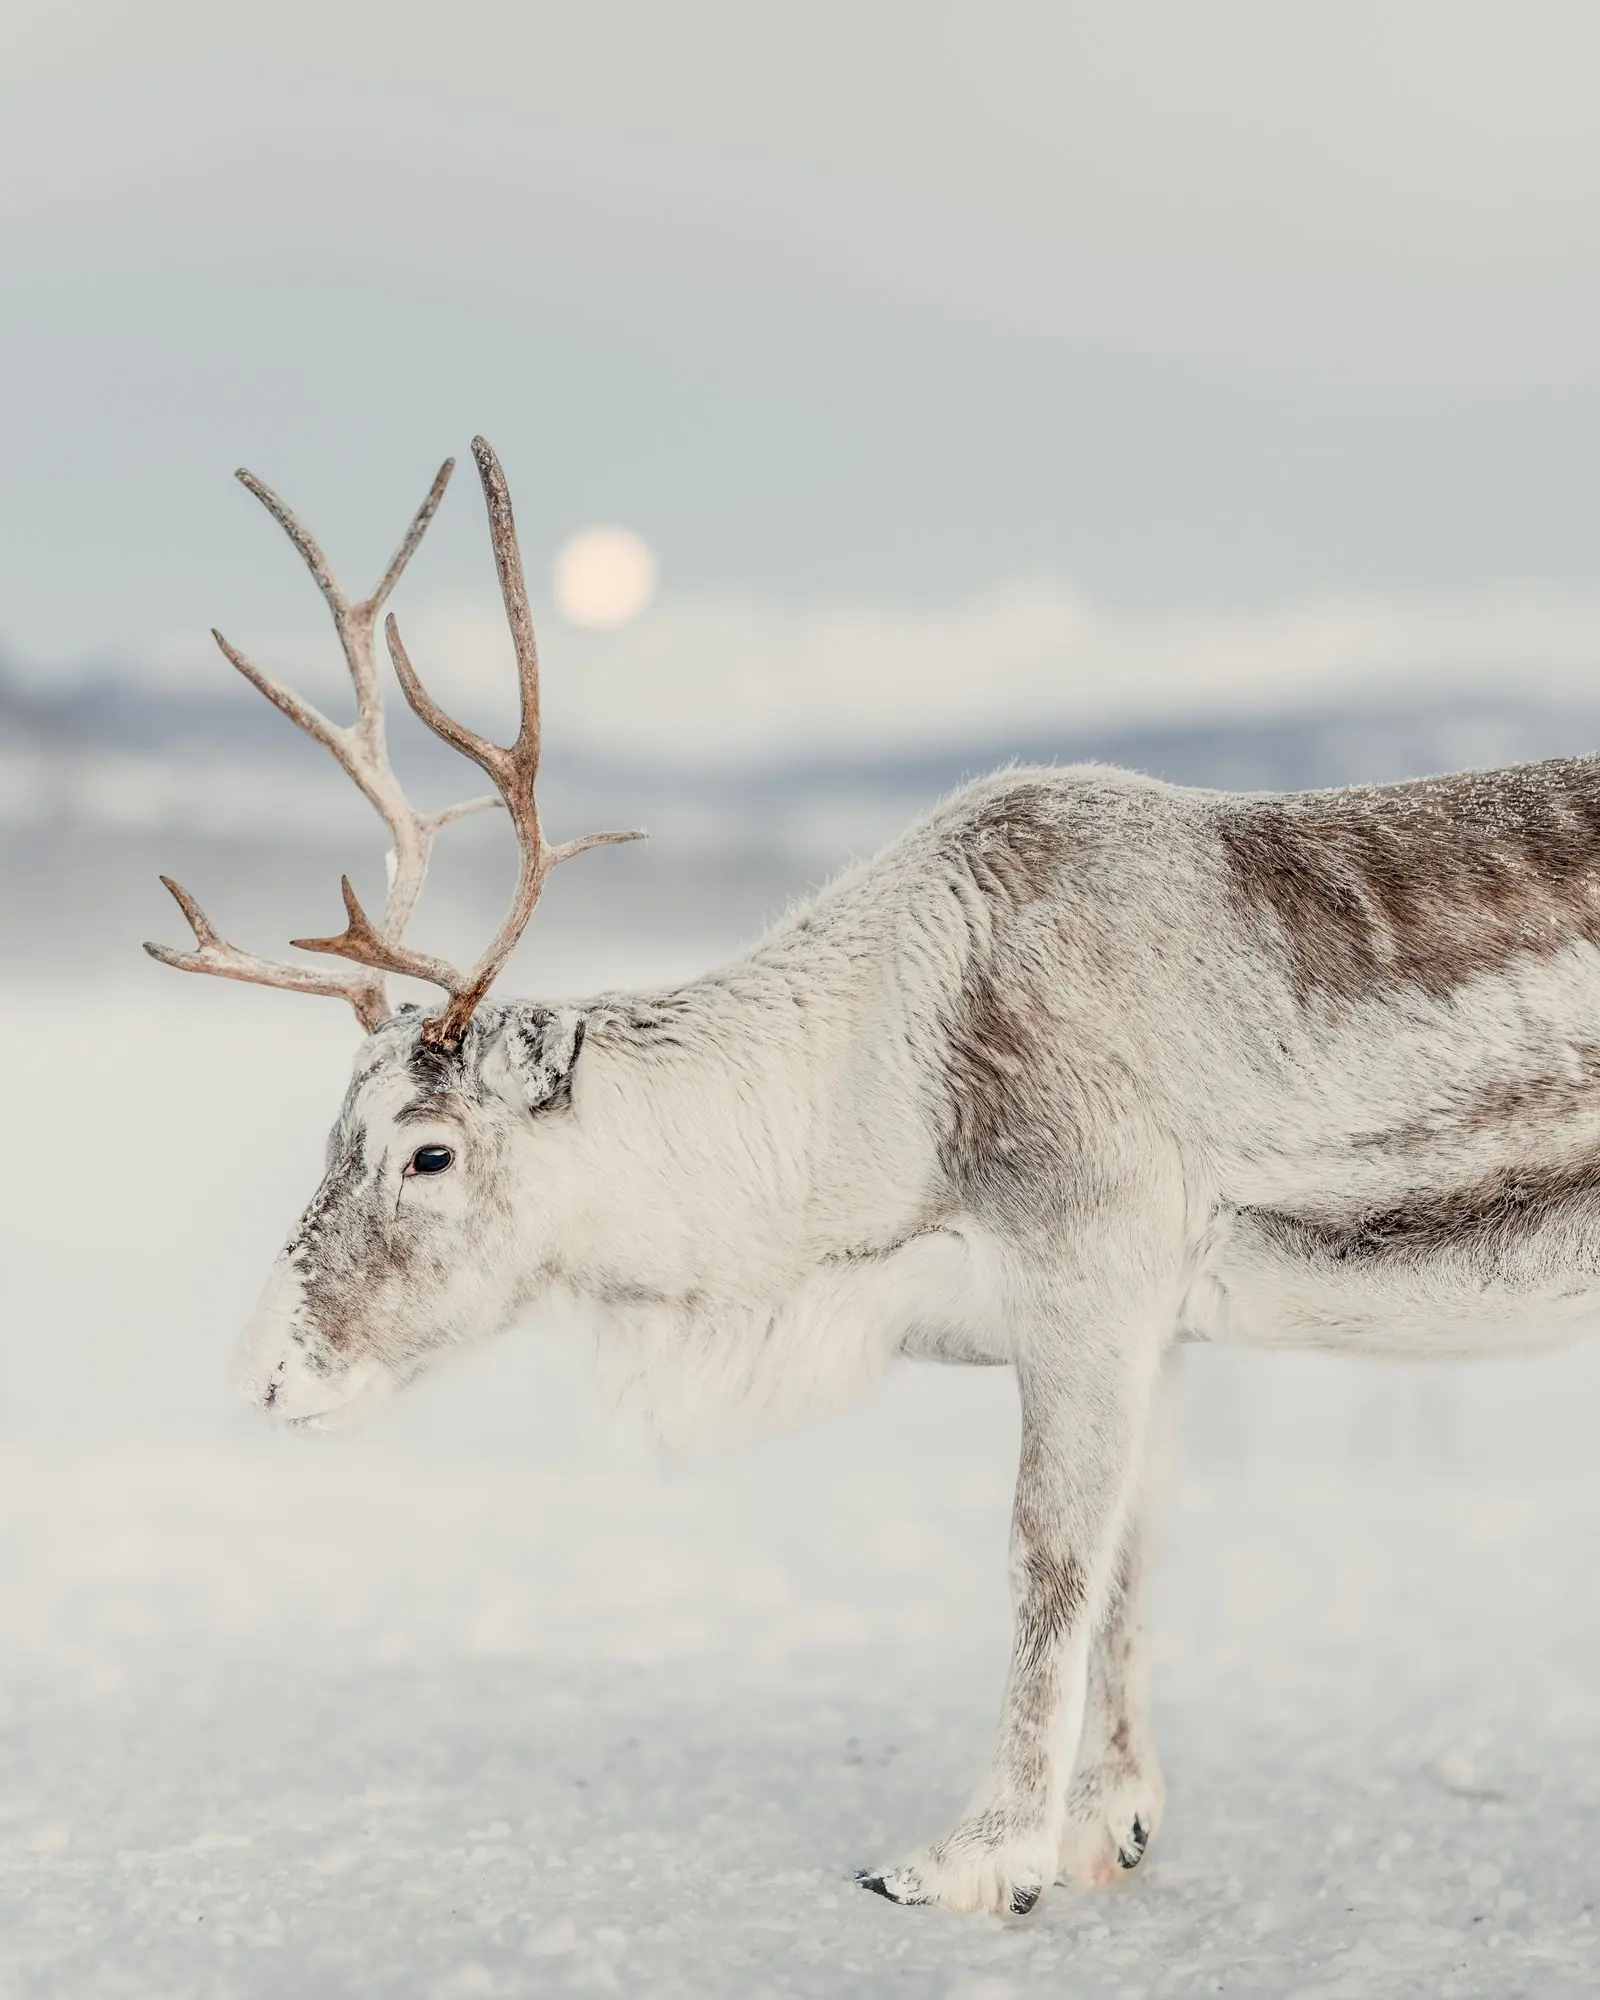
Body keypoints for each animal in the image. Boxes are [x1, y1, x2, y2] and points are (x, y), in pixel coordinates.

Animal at [149, 437, 1600, 1919]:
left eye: (428, 1148)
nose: (265, 1371)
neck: (881, 1079)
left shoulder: (1087, 1266)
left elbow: (1048, 1555)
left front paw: (975, 1858)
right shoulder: (1161, 1325)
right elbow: (1134, 1557)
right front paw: (1107, 1828)